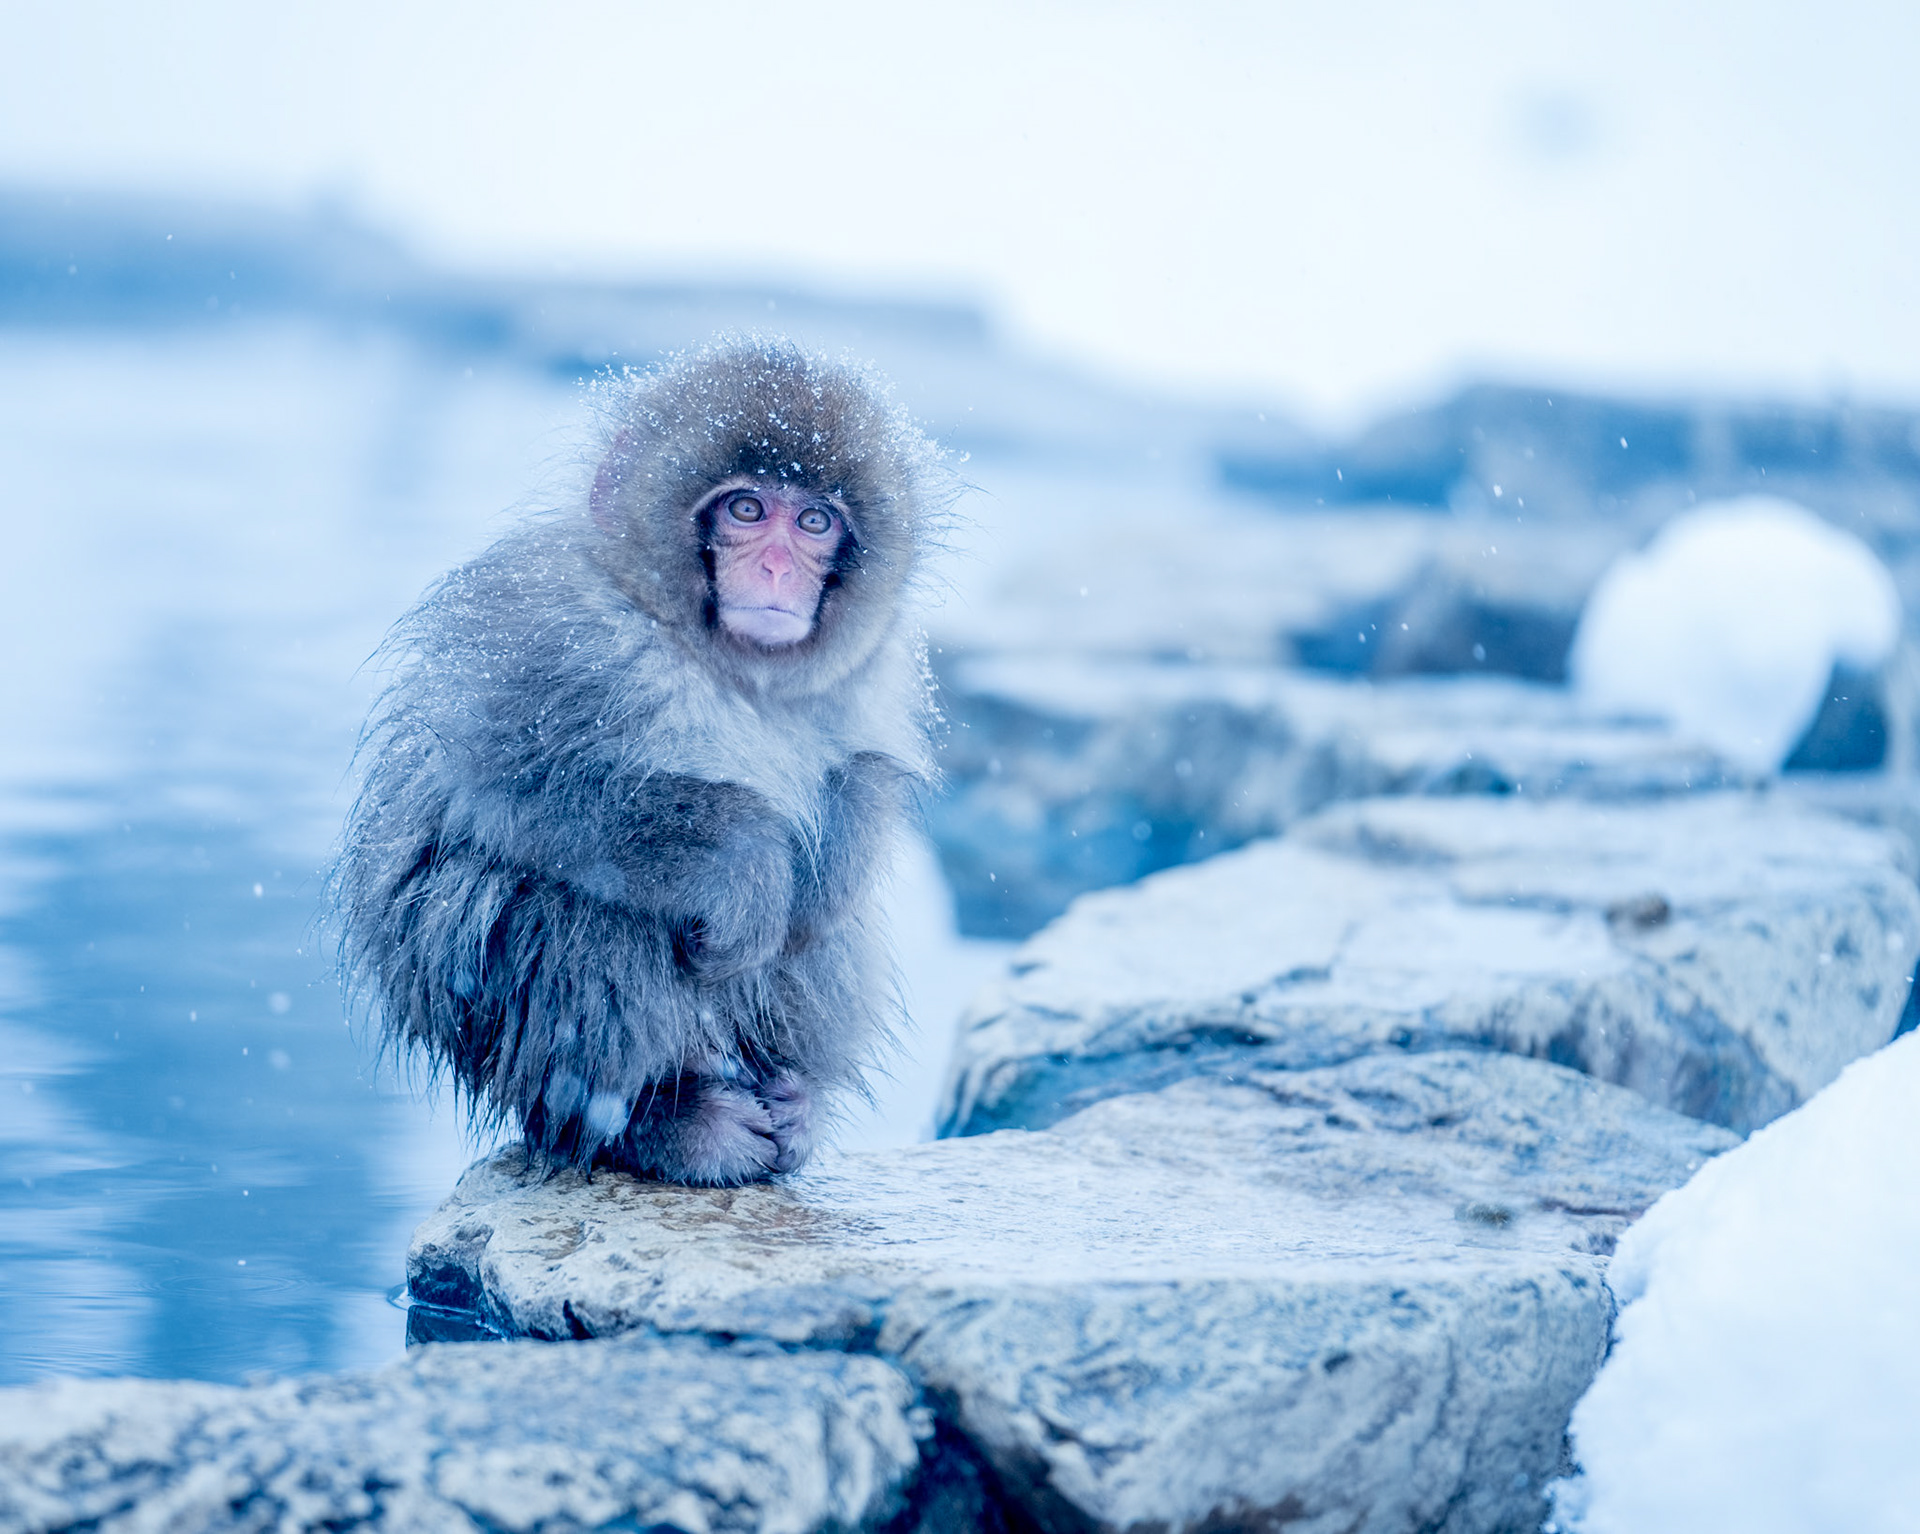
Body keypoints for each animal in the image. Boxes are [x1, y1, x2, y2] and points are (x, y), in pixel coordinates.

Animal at [329, 338, 950, 1185]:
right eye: (746, 510)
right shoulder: (547, 636)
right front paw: (750, 870)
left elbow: (858, 775)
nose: (778, 571)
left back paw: (794, 1097)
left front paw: (830, 870)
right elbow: (524, 789)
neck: (727, 664)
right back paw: (656, 1121)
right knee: (574, 916)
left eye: (815, 521)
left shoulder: (878, 670)